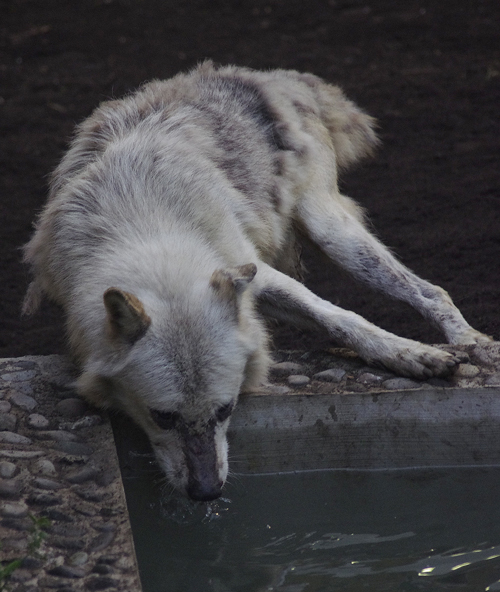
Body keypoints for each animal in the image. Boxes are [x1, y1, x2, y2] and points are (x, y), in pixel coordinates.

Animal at [21, 63, 490, 500]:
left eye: (225, 411)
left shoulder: (251, 270)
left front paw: (411, 354)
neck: (145, 225)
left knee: (431, 290)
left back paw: (473, 342)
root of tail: (271, 76)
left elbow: (342, 318)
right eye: (163, 417)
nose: (207, 492)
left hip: (332, 234)